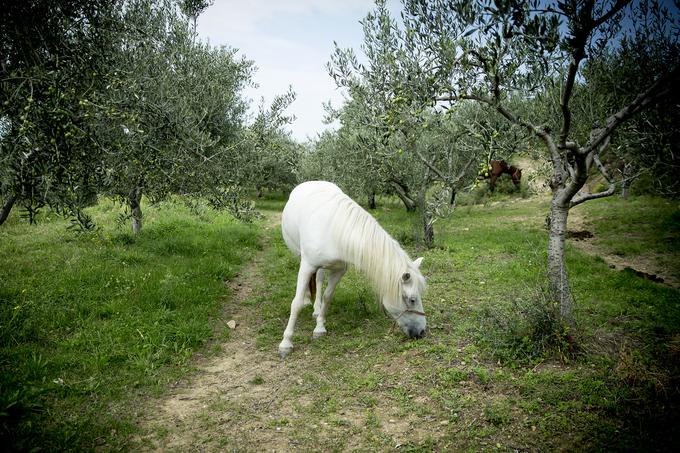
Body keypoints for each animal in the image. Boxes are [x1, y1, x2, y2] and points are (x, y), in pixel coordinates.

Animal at [276, 180, 424, 356]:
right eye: (412, 300)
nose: (422, 332)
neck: (334, 228)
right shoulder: (307, 265)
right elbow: (296, 303)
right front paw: (286, 343)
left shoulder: (339, 270)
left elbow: (327, 296)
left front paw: (320, 327)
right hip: (300, 256)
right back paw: (307, 299)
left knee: (319, 279)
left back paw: (317, 309)